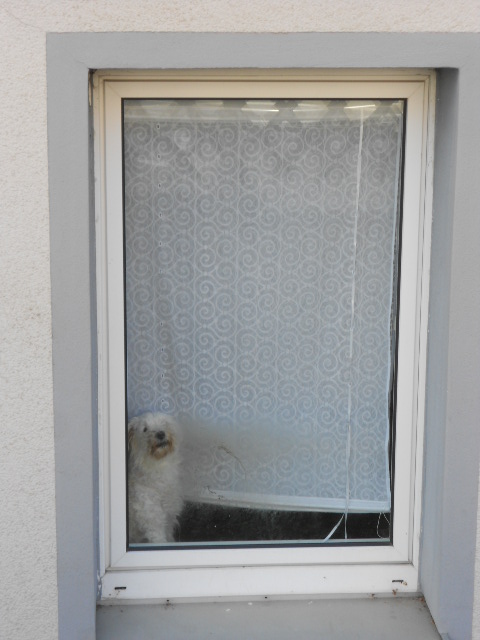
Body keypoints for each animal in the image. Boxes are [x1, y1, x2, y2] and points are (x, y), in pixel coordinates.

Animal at [126, 412, 183, 544]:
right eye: (145, 429)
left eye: (164, 422)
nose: (160, 434)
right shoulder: (153, 521)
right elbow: (160, 540)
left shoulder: (169, 516)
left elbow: (169, 537)